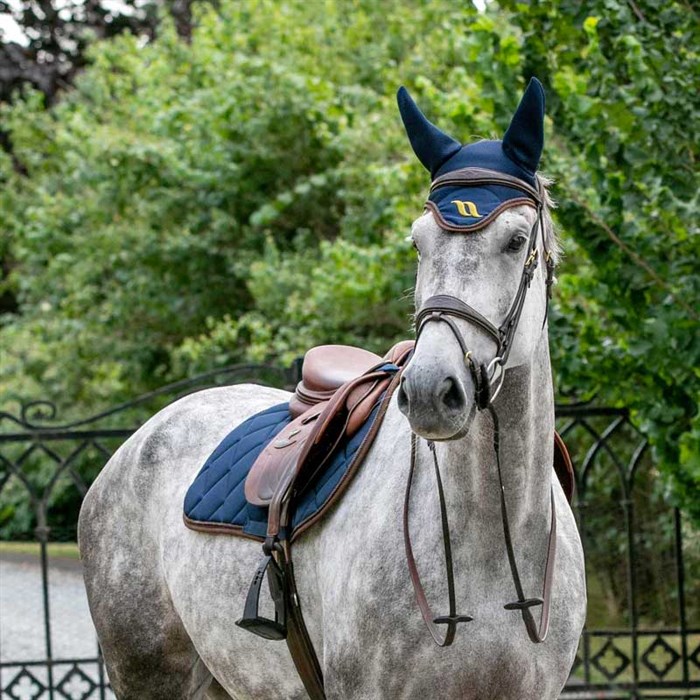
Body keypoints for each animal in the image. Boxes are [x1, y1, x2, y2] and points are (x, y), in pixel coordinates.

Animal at [79, 79, 588, 696]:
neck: (492, 537)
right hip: (149, 675)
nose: (430, 391)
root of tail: (137, 442)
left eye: (516, 241)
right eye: (418, 243)